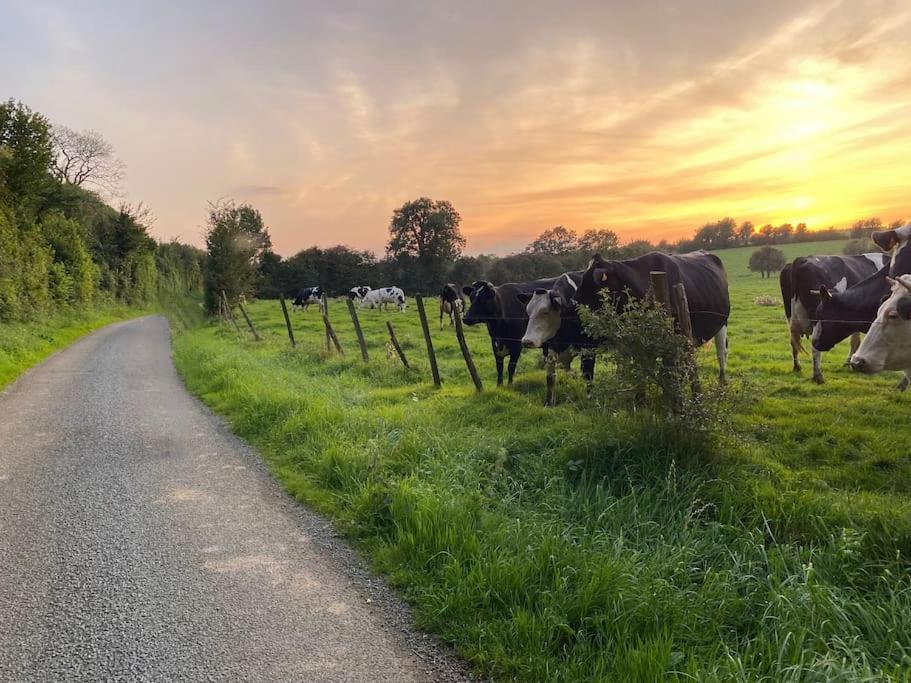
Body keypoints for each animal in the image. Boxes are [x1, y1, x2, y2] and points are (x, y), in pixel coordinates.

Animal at [780, 252, 888, 382]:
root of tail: (801, 259)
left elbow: (855, 341)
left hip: (790, 317)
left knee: (793, 342)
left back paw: (797, 367)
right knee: (815, 346)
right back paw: (818, 376)